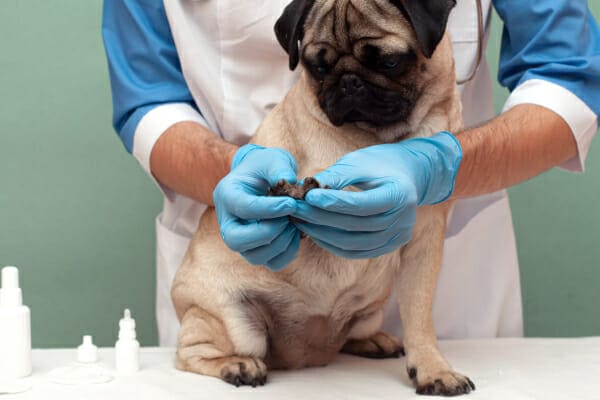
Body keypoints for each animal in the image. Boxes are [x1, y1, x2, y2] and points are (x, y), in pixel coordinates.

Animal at [170, 0, 474, 396]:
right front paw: (301, 192)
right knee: (190, 356)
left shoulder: (424, 244)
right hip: (230, 319)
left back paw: (372, 340)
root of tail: (305, 355)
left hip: (370, 308)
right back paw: (236, 365)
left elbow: (420, 319)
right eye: (318, 68)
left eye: (389, 62)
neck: (384, 139)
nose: (348, 80)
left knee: (349, 337)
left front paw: (433, 369)